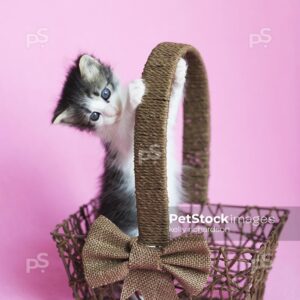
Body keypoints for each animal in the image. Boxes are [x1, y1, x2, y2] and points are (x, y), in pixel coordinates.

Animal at [52, 54, 186, 237]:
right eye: (94, 116)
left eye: (105, 93)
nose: (113, 112)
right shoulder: (121, 144)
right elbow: (129, 129)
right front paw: (134, 94)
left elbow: (170, 109)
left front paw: (179, 72)